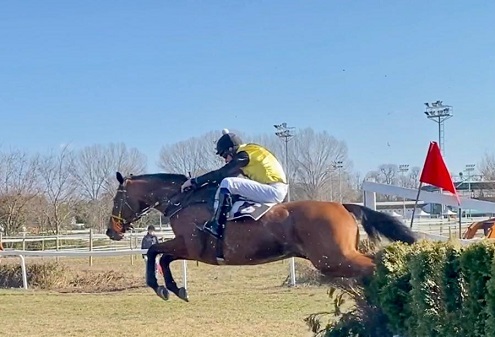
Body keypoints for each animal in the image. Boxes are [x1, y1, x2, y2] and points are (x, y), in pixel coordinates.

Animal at [106, 172, 416, 300]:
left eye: (116, 199)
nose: (111, 231)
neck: (182, 200)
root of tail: (343, 205)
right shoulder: (187, 249)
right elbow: (161, 256)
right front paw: (174, 289)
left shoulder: (191, 247)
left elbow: (155, 252)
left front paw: (162, 287)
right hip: (338, 258)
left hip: (334, 258)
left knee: (375, 266)